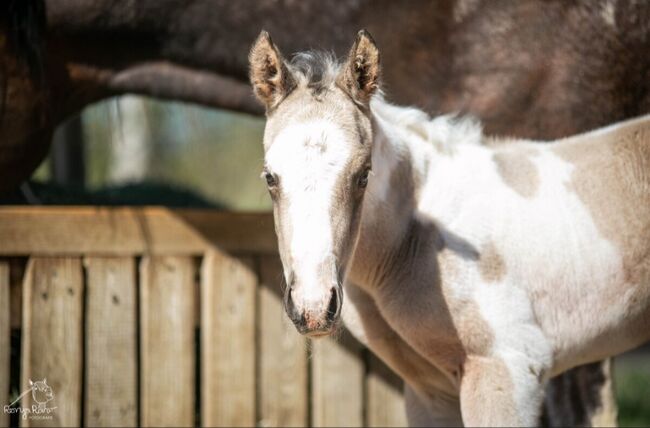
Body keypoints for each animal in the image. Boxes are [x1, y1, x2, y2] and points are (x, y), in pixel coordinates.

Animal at [249, 30, 650, 426]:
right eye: (269, 177)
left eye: (363, 175)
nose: (313, 307)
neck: (413, 242)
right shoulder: (429, 390)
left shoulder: (508, 368)